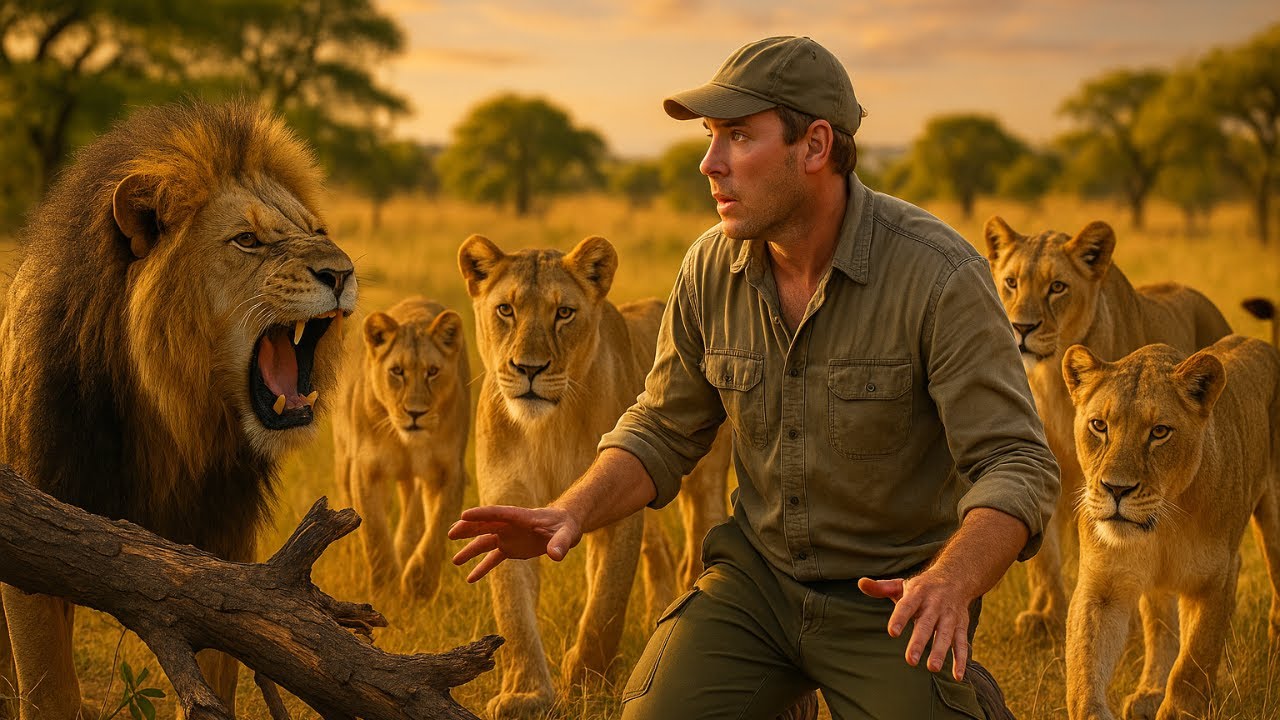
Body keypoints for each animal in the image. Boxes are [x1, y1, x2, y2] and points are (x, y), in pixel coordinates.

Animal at [0, 101, 355, 720]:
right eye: (247, 240)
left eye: (317, 232)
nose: (341, 272)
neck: (170, 414)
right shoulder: (33, 548)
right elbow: (49, 693)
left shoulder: (224, 560)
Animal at [332, 296, 469, 602]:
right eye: (397, 371)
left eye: (432, 372)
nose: (415, 413)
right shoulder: (366, 469)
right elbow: (374, 532)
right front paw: (385, 589)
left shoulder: (449, 471)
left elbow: (438, 529)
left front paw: (419, 587)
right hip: (344, 460)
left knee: (412, 514)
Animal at [457, 234, 730, 718]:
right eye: (505, 310)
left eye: (564, 313)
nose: (529, 368)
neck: (548, 428)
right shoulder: (509, 507)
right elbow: (513, 612)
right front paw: (526, 694)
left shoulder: (618, 510)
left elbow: (605, 605)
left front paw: (586, 682)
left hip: (706, 480)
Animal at [983, 216, 1231, 638]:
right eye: (1011, 282)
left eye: (1057, 287)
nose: (1021, 327)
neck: (1051, 379)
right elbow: (1044, 557)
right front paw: (1045, 616)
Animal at [1061, 337, 1280, 720]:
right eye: (1099, 425)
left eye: (1159, 432)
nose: (1116, 489)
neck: (1162, 525)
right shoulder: (1102, 585)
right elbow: (1085, 668)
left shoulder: (1216, 578)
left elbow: (1192, 663)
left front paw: (1179, 709)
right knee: (1160, 627)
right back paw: (1149, 692)